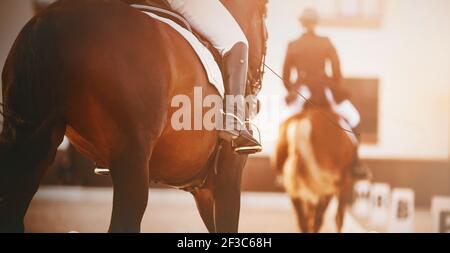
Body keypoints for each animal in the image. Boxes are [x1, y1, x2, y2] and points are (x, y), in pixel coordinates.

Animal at [272, 94, 356, 231]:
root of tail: (304, 121)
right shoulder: (341, 185)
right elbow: (338, 217)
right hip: (329, 185)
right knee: (319, 219)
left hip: (293, 187)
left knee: (303, 220)